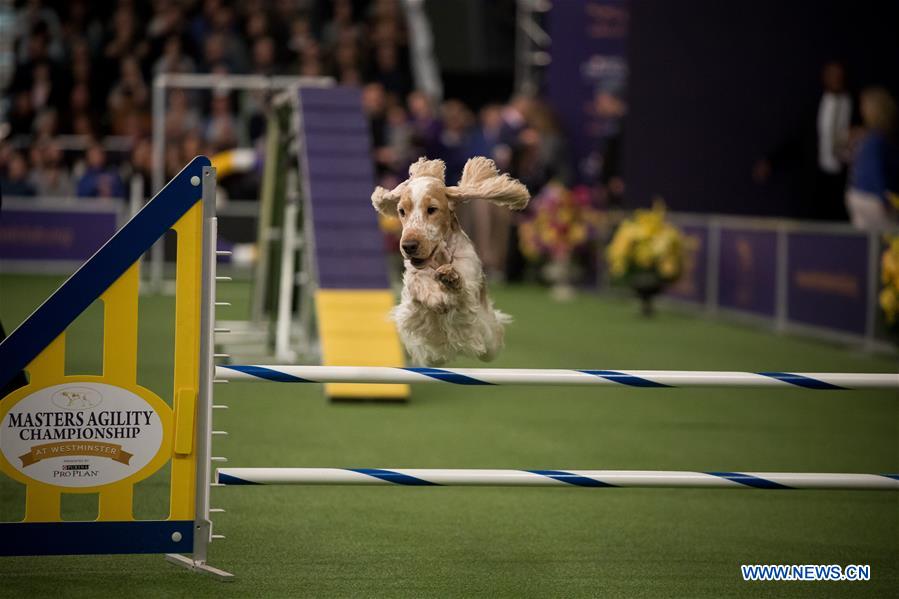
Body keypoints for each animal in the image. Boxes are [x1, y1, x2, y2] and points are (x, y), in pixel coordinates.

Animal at [370, 157, 528, 366]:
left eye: (432, 209)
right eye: (401, 211)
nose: (409, 245)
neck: (439, 258)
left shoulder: (469, 278)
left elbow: (462, 292)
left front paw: (450, 279)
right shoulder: (413, 286)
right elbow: (418, 284)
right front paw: (436, 297)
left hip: (490, 343)